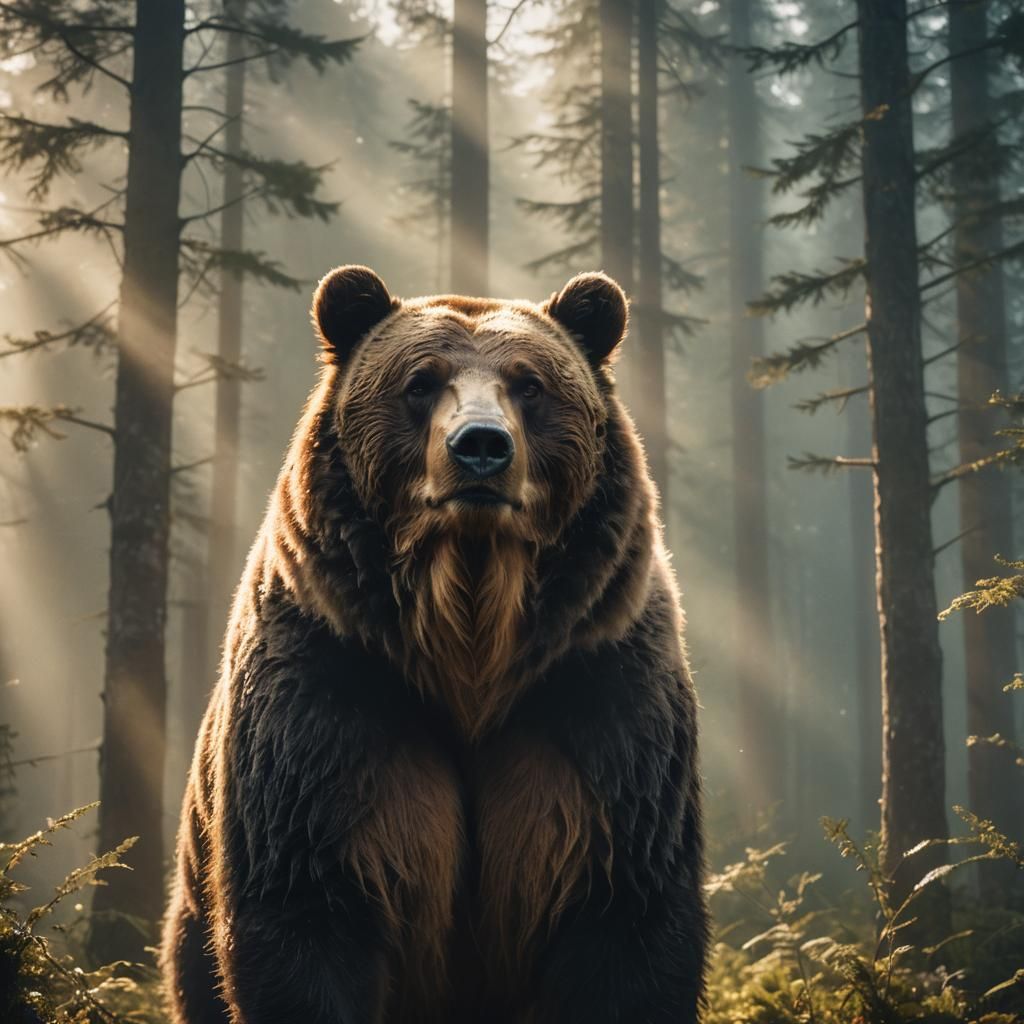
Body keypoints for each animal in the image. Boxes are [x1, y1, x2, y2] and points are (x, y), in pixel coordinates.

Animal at [161, 265, 708, 1024]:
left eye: (530, 383)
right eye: (420, 382)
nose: (480, 445)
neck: (470, 642)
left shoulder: (596, 701)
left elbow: (627, 923)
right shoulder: (333, 697)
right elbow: (307, 913)